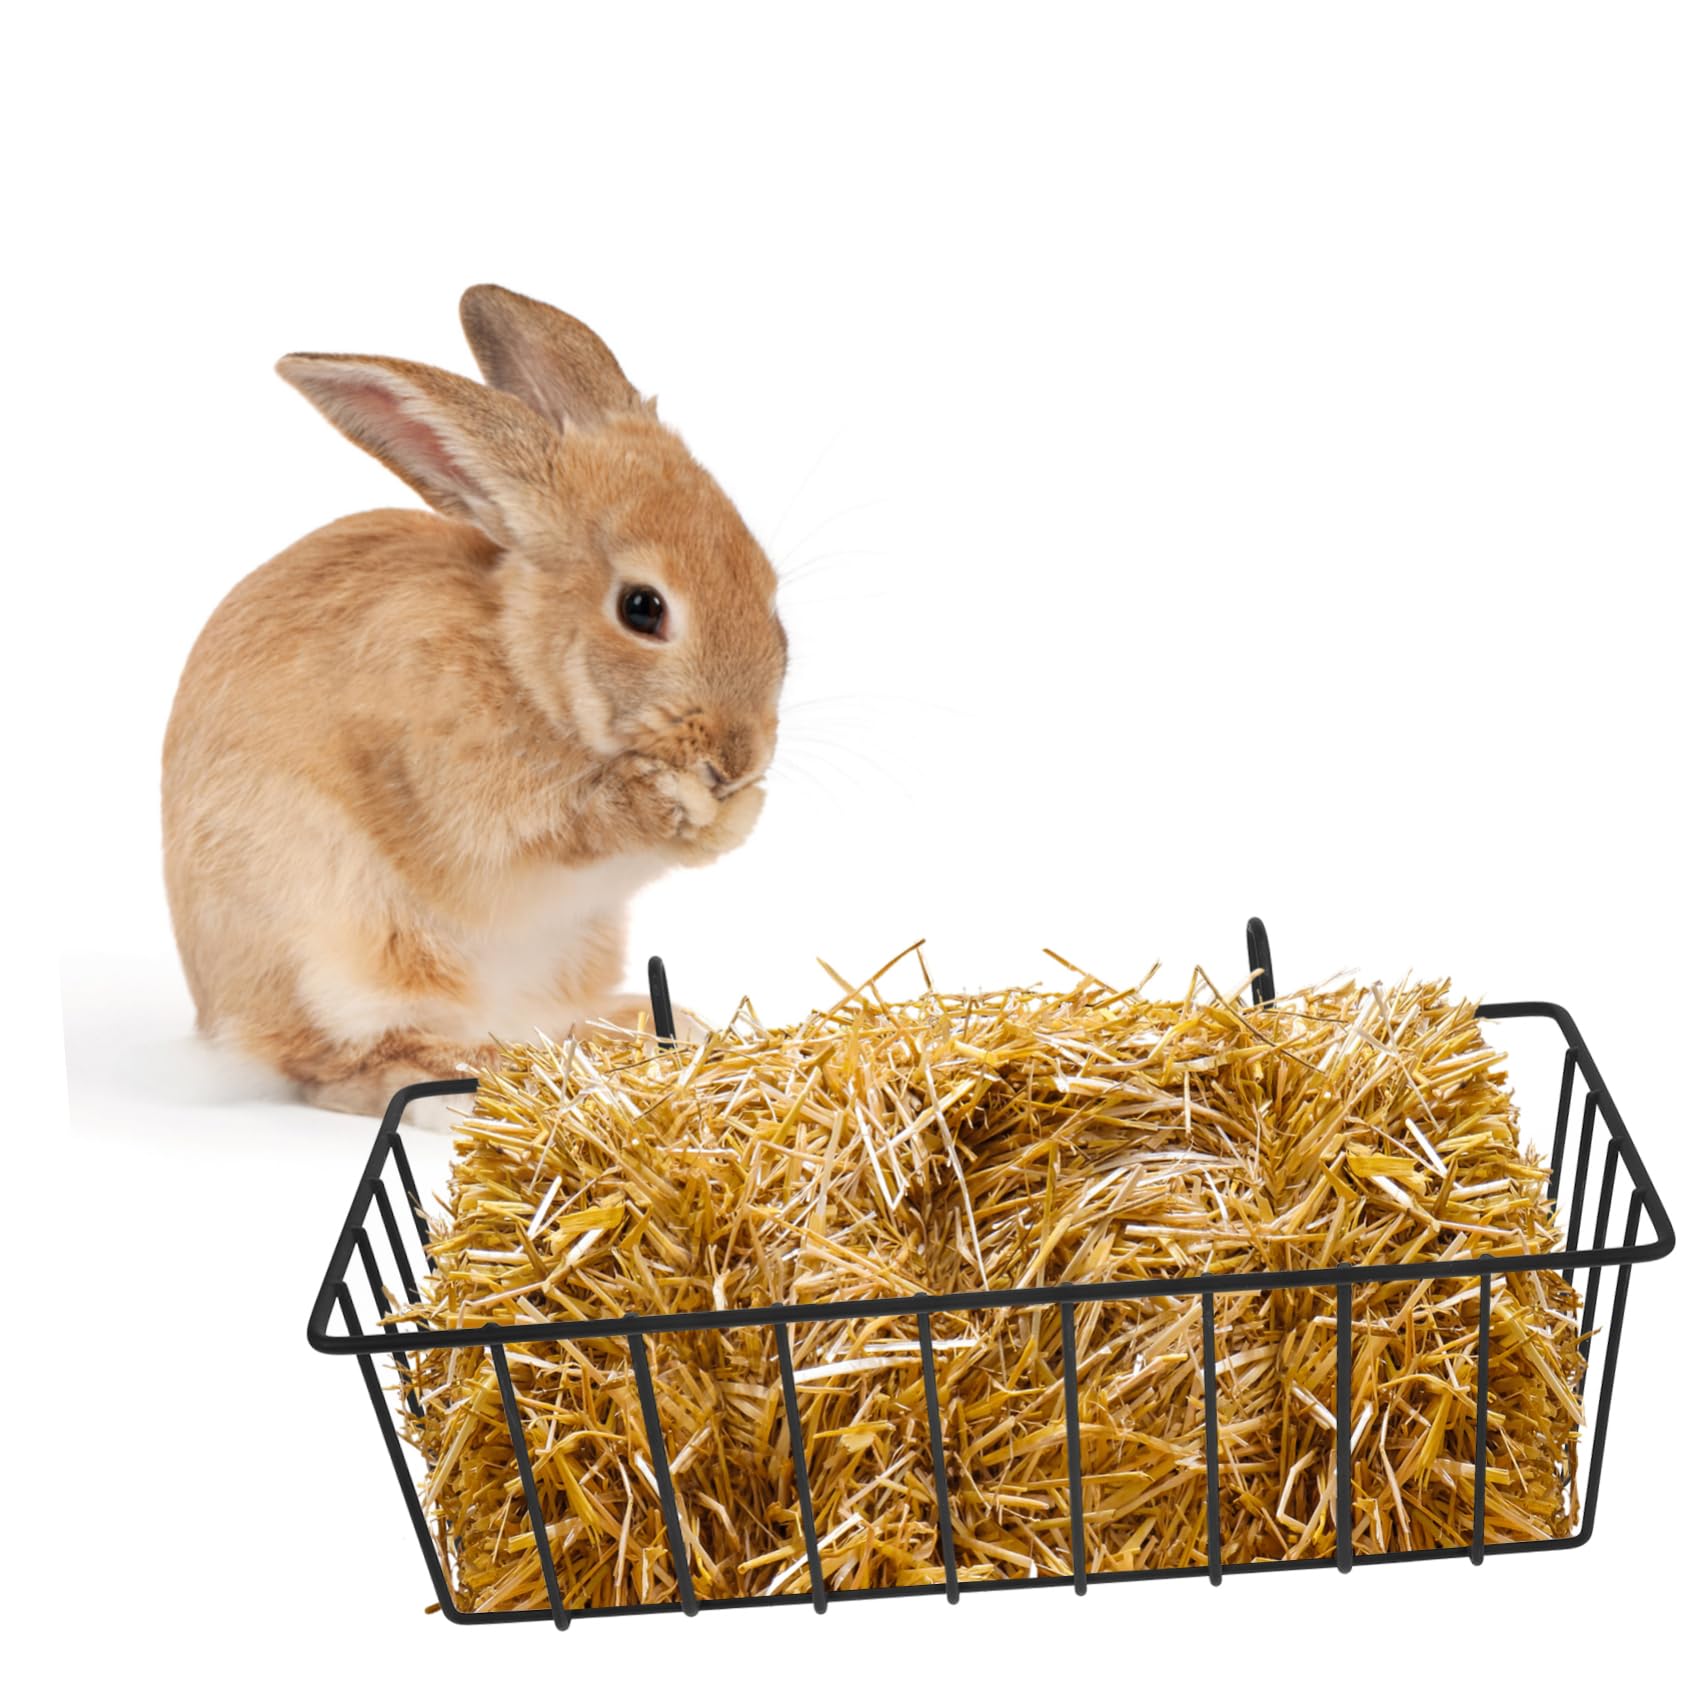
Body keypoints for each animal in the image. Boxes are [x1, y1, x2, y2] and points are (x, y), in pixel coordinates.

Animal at [162, 285, 786, 1117]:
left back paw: (643, 1027)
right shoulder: (466, 800)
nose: (738, 759)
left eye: (767, 584)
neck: (527, 666)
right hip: (334, 946)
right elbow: (562, 828)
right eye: (642, 608)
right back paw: (461, 1079)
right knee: (335, 1066)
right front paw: (668, 803)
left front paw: (735, 815)